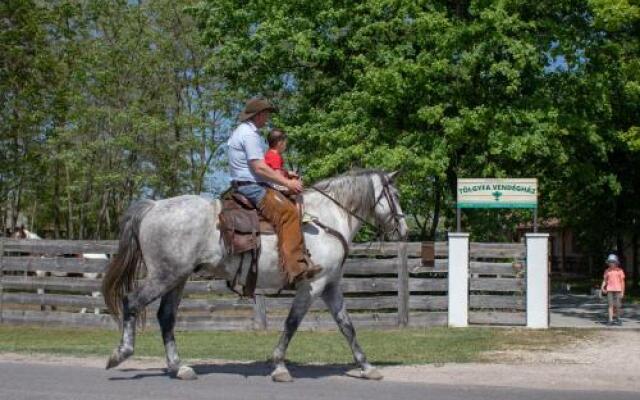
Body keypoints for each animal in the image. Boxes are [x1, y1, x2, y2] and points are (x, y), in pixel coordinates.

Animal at [102, 170, 408, 382]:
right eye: (396, 195)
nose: (405, 231)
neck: (326, 220)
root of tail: (154, 206)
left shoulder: (330, 285)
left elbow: (347, 325)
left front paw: (367, 367)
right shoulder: (313, 285)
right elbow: (292, 323)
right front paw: (279, 366)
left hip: (178, 278)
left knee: (166, 316)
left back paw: (179, 368)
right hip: (165, 275)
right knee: (131, 302)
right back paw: (121, 354)